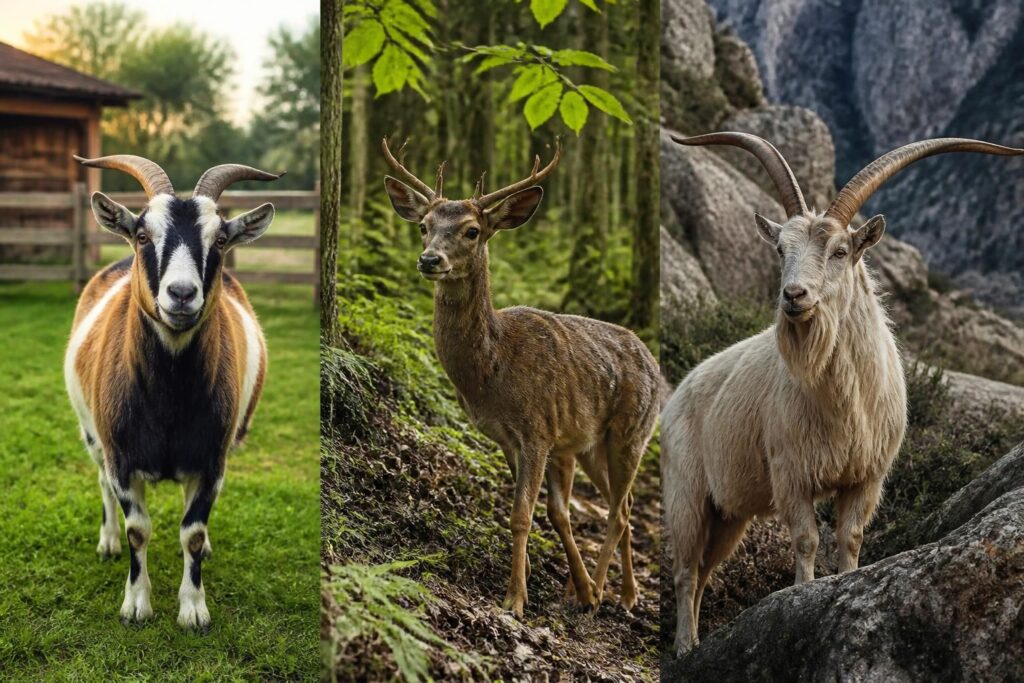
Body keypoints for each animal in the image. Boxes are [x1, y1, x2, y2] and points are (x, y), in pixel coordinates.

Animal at [64, 154, 281, 629]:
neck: (168, 400)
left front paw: (194, 608)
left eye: (220, 239)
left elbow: (192, 532)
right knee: (100, 480)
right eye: (143, 234)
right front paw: (136, 604)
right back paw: (107, 542)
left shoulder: (212, 459)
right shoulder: (122, 458)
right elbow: (138, 530)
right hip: (91, 434)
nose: (181, 294)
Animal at [382, 138, 661, 617]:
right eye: (423, 226)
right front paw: (535, 579)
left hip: (632, 431)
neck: (492, 371)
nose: (430, 259)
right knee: (617, 504)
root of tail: (655, 363)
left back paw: (600, 591)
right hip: (592, 443)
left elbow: (522, 515)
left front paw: (514, 599)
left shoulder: (537, 430)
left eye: (472, 230)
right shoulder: (508, 438)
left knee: (620, 511)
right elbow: (542, 512)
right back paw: (621, 593)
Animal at [662, 134, 1024, 655]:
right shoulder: (792, 476)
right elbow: (808, 540)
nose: (794, 296)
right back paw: (685, 647)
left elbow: (849, 538)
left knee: (707, 568)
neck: (842, 400)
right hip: (686, 495)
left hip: (728, 513)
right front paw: (800, 597)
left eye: (839, 250)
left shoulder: (866, 478)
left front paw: (841, 585)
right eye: (780, 248)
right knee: (686, 570)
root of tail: (679, 393)